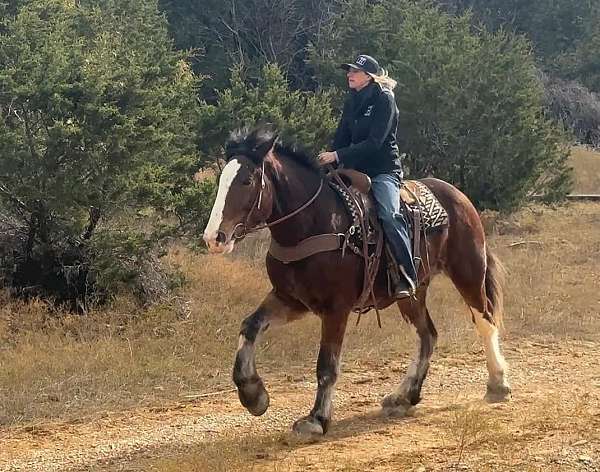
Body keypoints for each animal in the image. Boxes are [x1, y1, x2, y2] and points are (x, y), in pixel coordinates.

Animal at [203, 126, 510, 436]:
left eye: (246, 180)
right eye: (222, 179)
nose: (214, 237)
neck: (314, 222)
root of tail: (458, 196)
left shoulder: (336, 308)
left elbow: (327, 365)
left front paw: (316, 419)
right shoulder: (290, 300)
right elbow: (249, 327)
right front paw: (253, 394)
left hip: (468, 272)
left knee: (485, 321)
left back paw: (497, 384)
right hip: (412, 293)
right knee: (427, 336)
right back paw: (403, 396)